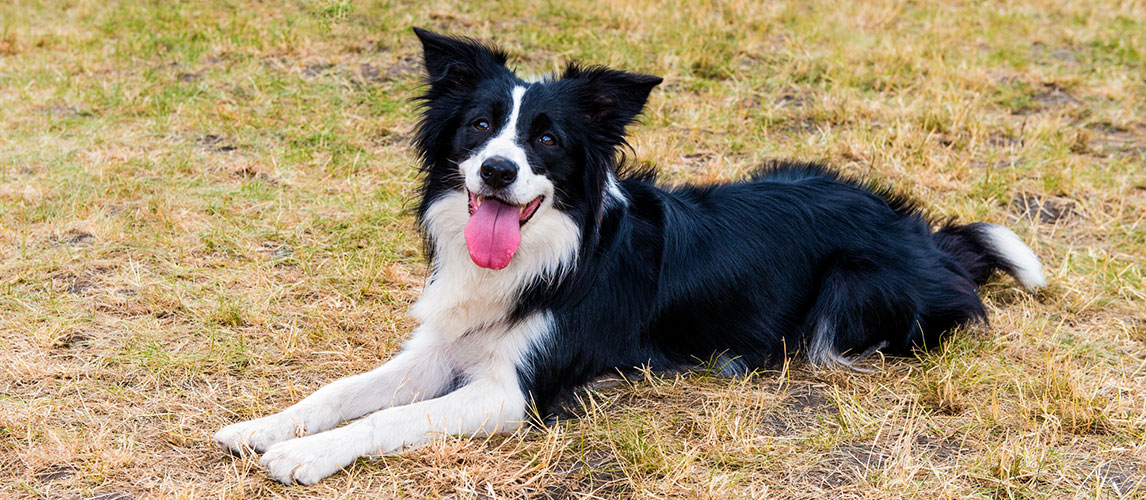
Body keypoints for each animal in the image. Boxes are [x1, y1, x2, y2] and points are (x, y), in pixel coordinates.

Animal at [215, 27, 1049, 483]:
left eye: (548, 139)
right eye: (479, 125)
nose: (497, 170)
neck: (544, 252)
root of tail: (923, 233)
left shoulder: (511, 393)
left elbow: (391, 420)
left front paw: (304, 458)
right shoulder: (441, 348)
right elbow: (343, 391)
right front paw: (264, 427)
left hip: (847, 297)